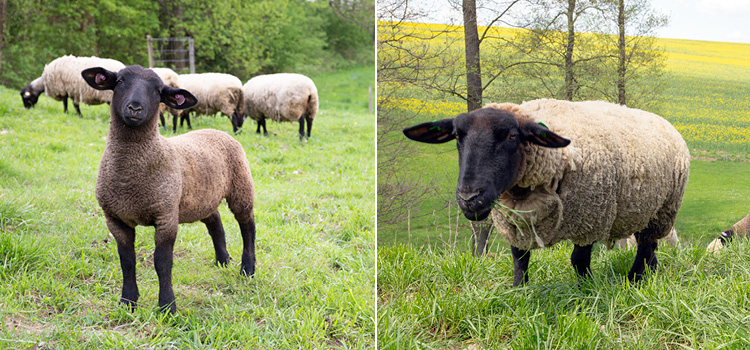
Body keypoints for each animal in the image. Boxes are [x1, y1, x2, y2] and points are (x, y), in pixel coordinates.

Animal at [82, 64, 258, 314]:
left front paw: (167, 306)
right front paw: (128, 301)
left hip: (241, 186)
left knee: (248, 226)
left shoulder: (166, 216)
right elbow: (127, 261)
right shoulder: (115, 218)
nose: (135, 108)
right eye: (119, 81)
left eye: (157, 91)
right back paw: (222, 261)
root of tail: (216, 131)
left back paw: (247, 269)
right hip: (201, 197)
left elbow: (162, 262)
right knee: (215, 222)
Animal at [406, 98, 692, 284]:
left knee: (646, 245)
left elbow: (579, 260)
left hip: (663, 209)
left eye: (512, 136)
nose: (469, 199)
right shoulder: (515, 221)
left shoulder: (589, 220)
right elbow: (519, 259)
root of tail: (663, 121)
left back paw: (635, 280)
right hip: (643, 210)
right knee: (649, 246)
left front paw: (587, 289)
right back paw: (650, 272)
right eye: (457, 136)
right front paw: (518, 290)